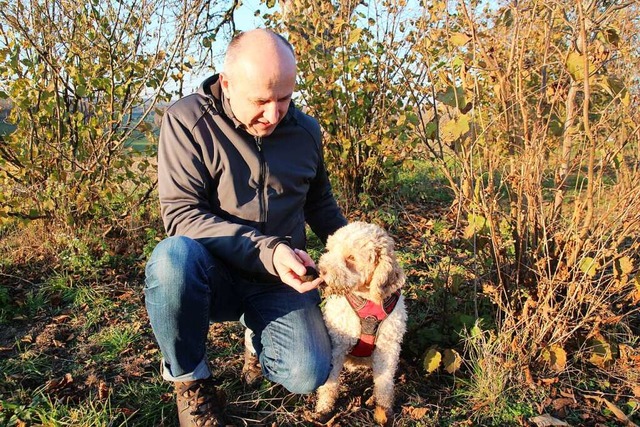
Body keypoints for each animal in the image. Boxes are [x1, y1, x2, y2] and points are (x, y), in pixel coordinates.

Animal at [314, 222, 404, 426]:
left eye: (351, 257)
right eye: (330, 249)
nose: (320, 271)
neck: (368, 301)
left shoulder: (388, 348)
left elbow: (385, 383)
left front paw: (384, 411)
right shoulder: (337, 345)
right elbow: (330, 382)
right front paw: (324, 408)